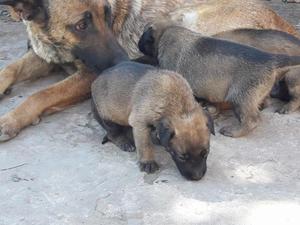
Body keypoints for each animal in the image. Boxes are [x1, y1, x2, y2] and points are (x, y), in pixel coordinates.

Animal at [139, 23, 300, 138]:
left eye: (143, 37)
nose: (138, 45)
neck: (165, 32)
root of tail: (270, 59)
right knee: (263, 104)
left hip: (241, 97)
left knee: (251, 120)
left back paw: (234, 132)